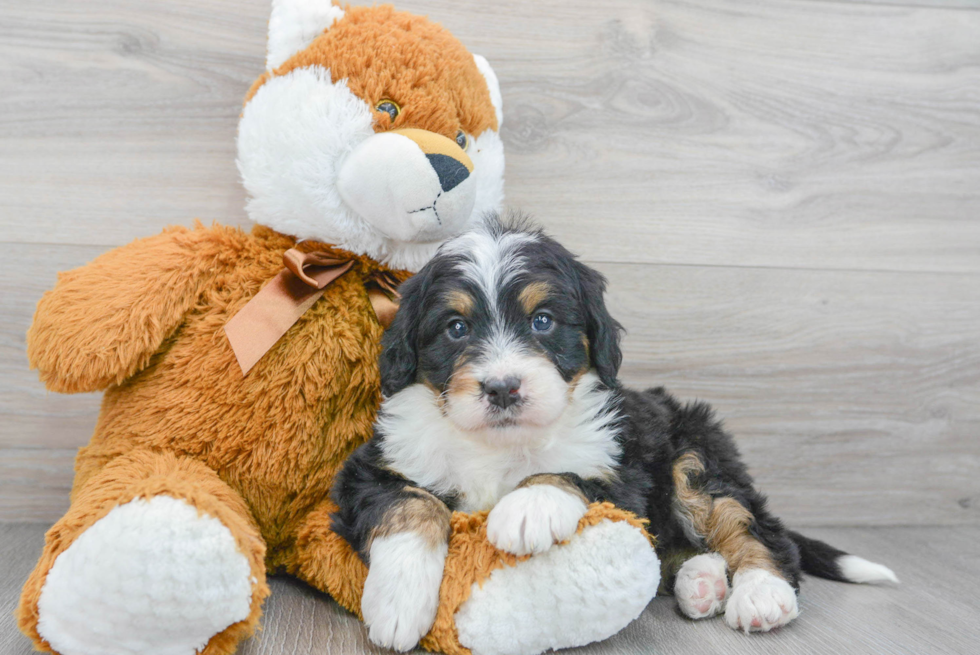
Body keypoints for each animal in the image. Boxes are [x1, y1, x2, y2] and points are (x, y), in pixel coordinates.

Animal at [334, 214, 900, 652]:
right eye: (456, 328)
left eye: (542, 321)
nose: (502, 388)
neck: (499, 442)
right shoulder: (373, 464)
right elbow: (411, 504)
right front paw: (398, 602)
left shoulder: (621, 460)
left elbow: (572, 472)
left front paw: (529, 506)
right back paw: (702, 582)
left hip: (694, 452)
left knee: (752, 525)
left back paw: (761, 592)